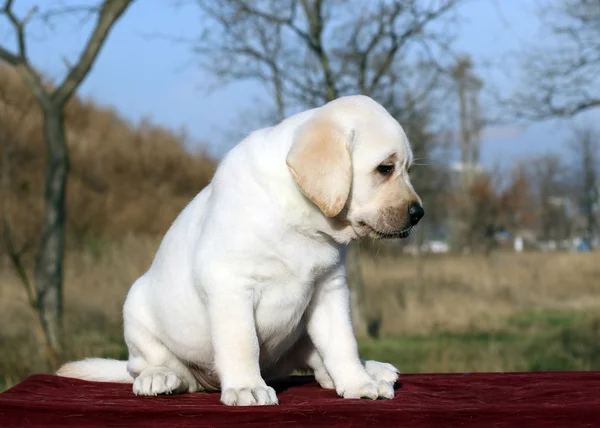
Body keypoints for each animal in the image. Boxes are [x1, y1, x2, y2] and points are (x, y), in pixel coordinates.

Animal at [56, 95, 424, 406]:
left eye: (407, 169)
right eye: (385, 168)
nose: (419, 214)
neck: (302, 221)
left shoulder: (329, 288)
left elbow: (343, 343)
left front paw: (358, 383)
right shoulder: (230, 285)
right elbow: (242, 342)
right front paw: (248, 387)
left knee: (319, 364)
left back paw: (371, 369)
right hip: (137, 310)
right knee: (148, 366)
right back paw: (158, 377)